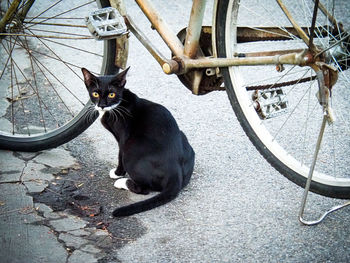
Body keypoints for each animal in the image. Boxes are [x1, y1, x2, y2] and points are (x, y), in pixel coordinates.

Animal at [83, 67, 196, 218]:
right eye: (95, 93)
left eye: (112, 94)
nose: (102, 105)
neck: (117, 105)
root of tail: (175, 170)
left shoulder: (123, 138)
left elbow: (119, 156)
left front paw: (117, 173)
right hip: (183, 137)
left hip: (131, 150)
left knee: (144, 189)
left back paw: (121, 182)